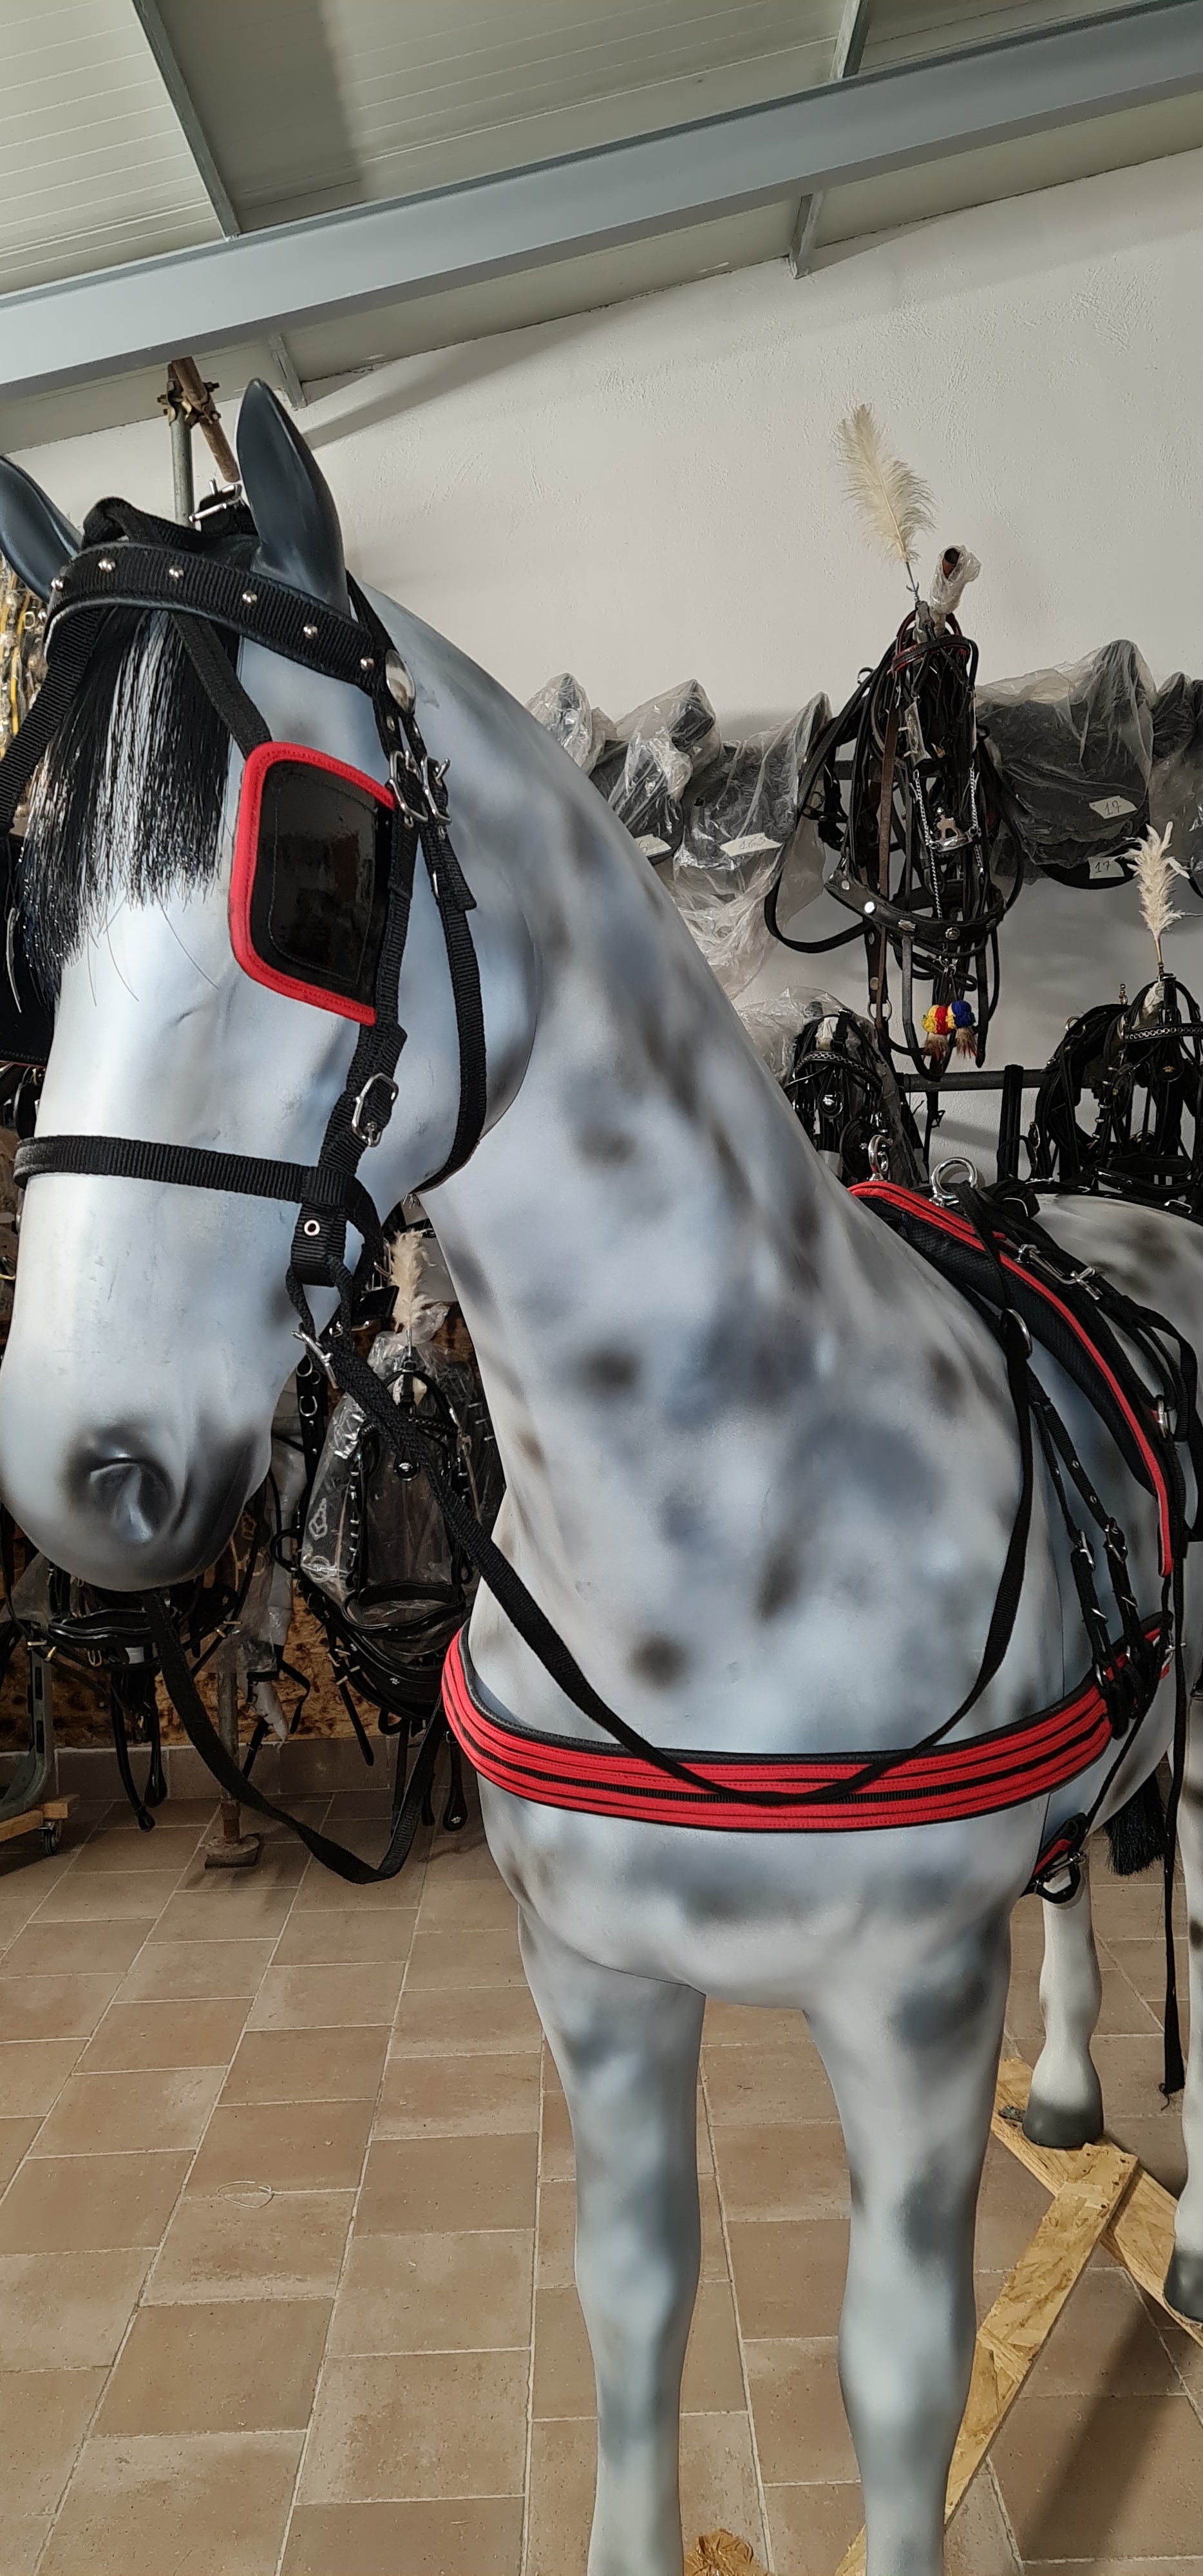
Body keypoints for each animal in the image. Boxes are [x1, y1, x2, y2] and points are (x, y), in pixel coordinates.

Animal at [0, 387, 1199, 2576]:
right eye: (23, 892)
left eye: (316, 872)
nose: (84, 1460)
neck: (725, 1520)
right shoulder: (599, 1988)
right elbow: (634, 2315)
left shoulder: (906, 2009)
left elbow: (895, 2385)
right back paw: (1074, 2104)